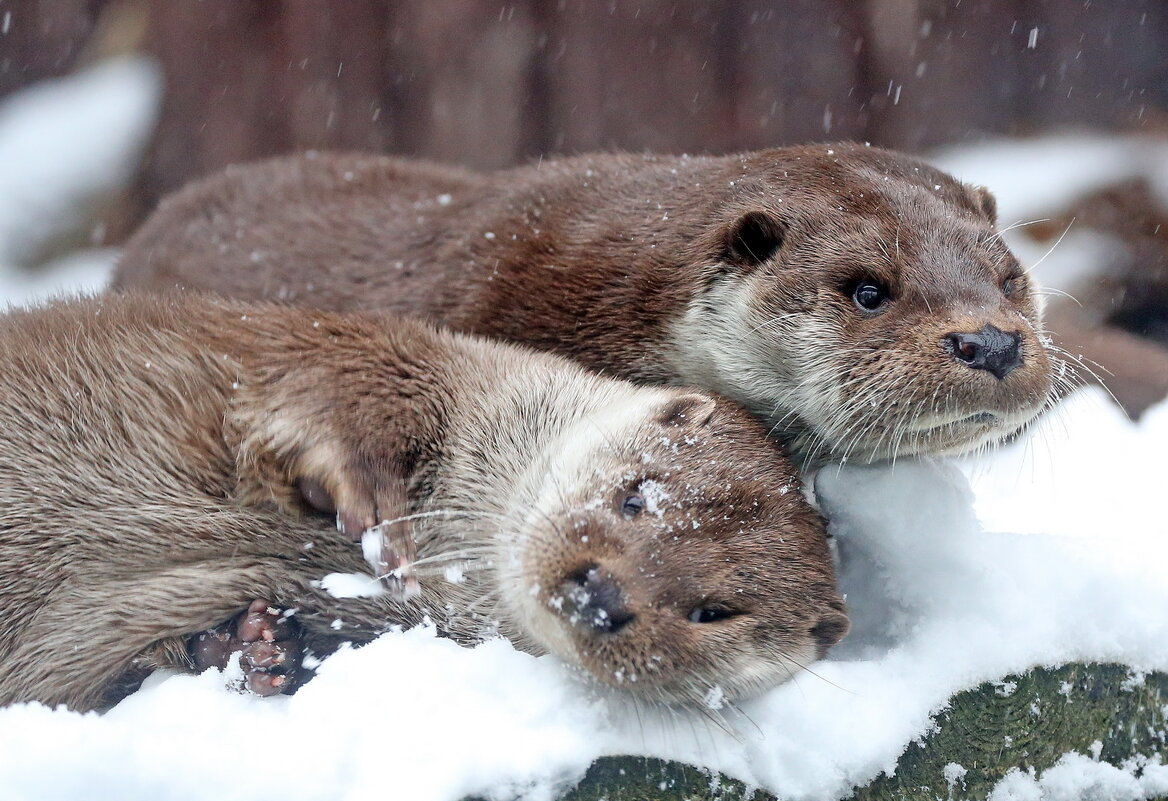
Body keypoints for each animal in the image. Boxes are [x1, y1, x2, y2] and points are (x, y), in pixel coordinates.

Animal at [0, 293, 845, 714]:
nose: (601, 592)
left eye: (714, 611)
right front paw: (370, 510)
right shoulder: (384, 357)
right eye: (638, 496)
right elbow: (340, 385)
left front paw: (262, 649)